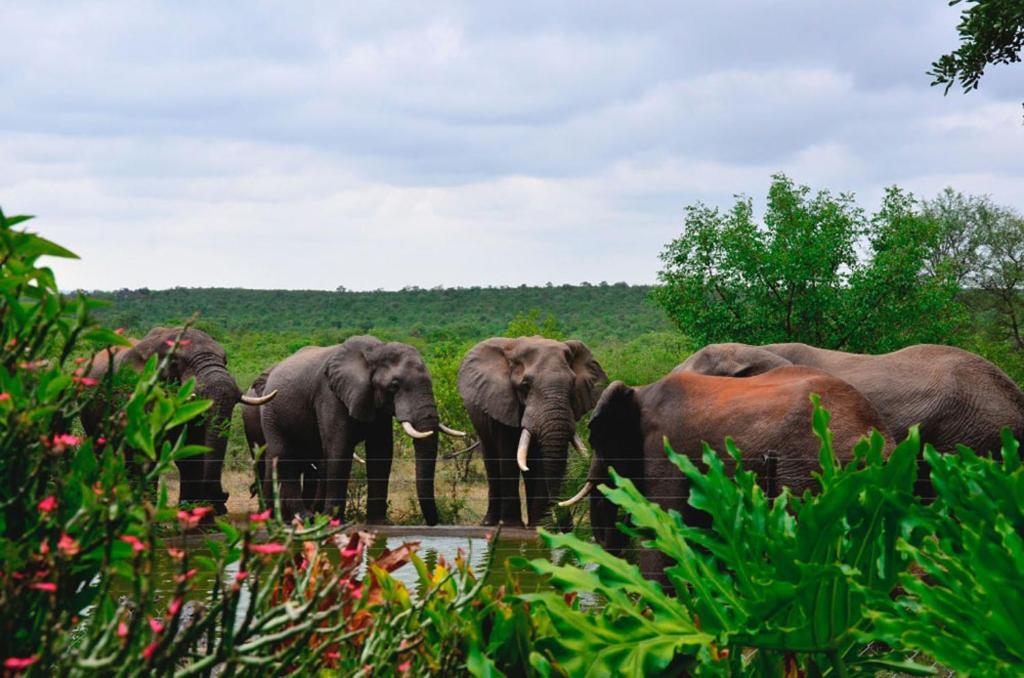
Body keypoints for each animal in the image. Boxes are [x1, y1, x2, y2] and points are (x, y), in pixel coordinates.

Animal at [81, 329, 276, 516]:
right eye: (175, 364)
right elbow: (145, 454)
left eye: (225, 360)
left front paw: (195, 516)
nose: (223, 498)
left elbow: (191, 454)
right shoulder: (136, 393)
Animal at [256, 337, 464, 522]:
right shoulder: (330, 395)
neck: (375, 352)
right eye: (394, 386)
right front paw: (332, 521)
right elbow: (339, 450)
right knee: (284, 456)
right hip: (271, 412)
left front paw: (379, 523)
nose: (434, 522)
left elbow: (381, 452)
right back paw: (303, 518)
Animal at [456, 337, 606, 528]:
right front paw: (512, 525)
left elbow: (539, 460)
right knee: (491, 458)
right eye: (525, 386)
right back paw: (489, 523)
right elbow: (508, 454)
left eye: (572, 384)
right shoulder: (501, 401)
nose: (567, 526)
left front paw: (539, 525)